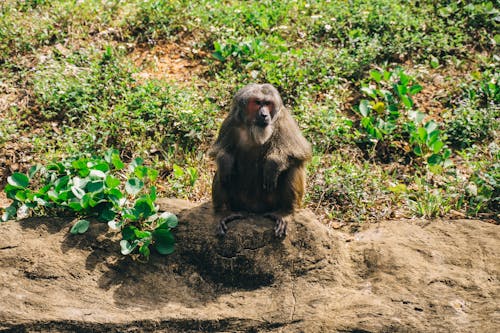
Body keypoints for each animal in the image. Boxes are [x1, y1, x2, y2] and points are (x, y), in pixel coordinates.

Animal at [208, 84, 310, 237]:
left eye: (268, 104)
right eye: (257, 103)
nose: (264, 115)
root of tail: (254, 210)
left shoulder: (285, 120)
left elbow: (300, 152)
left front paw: (273, 164)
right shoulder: (231, 121)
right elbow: (219, 152)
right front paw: (225, 161)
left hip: (270, 202)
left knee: (293, 166)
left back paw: (285, 212)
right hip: (239, 202)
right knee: (223, 172)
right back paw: (224, 212)